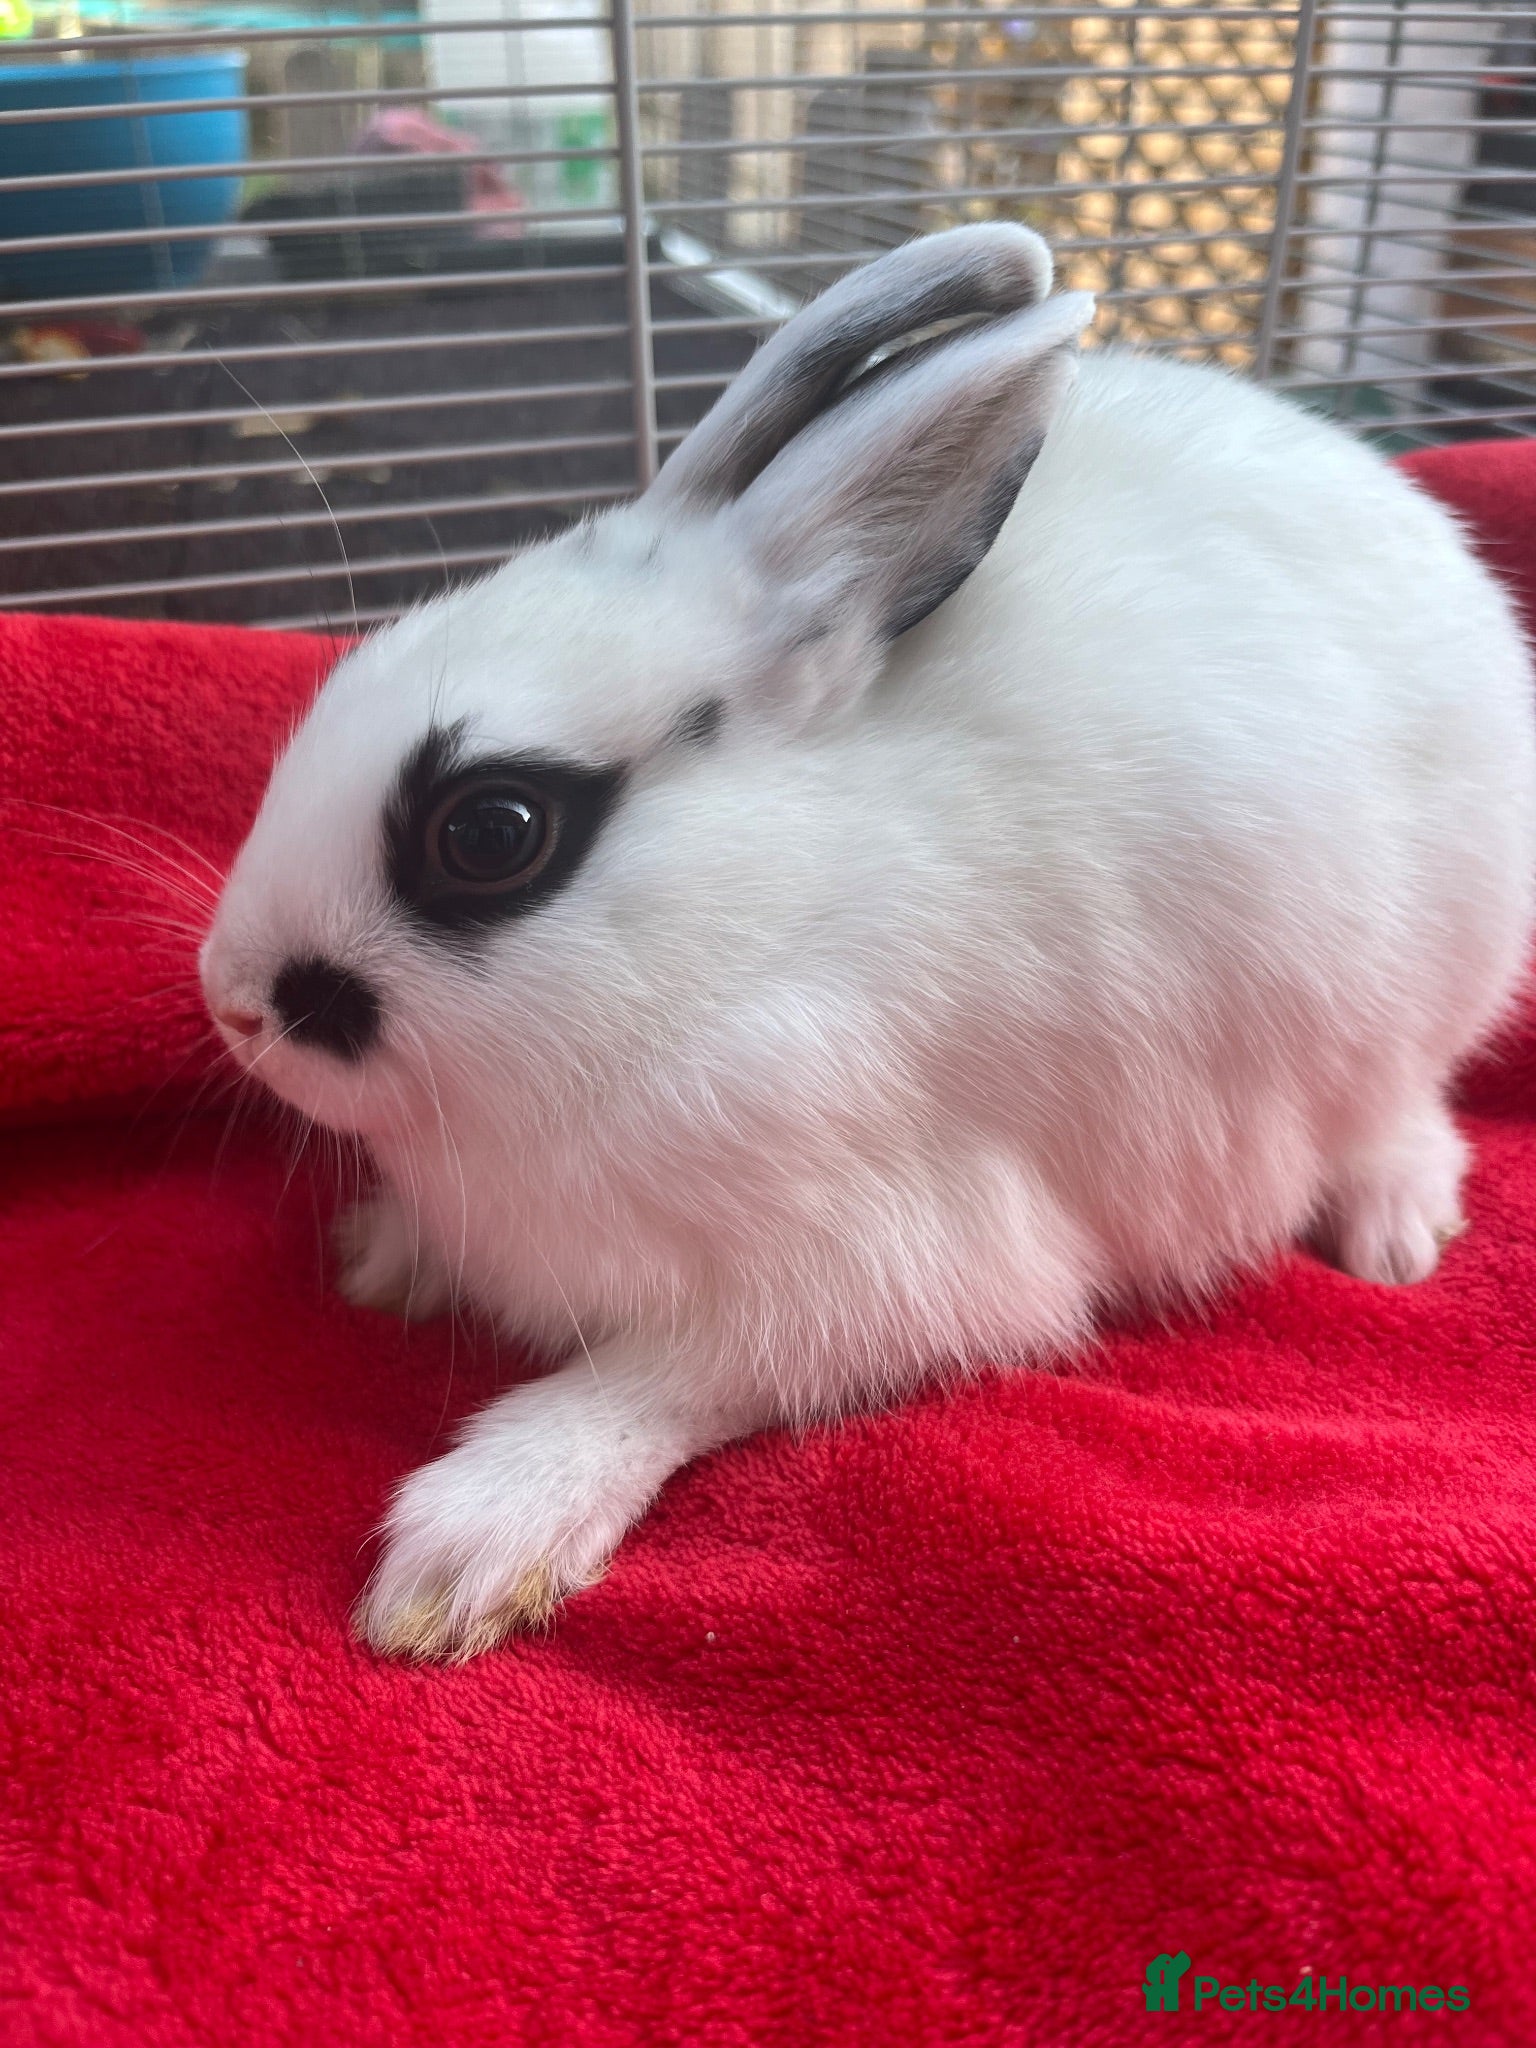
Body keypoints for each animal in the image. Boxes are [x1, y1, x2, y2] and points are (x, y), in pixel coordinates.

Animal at [200, 223, 1536, 1661]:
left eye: (491, 831)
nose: (233, 1005)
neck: (752, 931)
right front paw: (381, 1259)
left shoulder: (868, 1266)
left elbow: (650, 1384)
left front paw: (464, 1554)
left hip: (1405, 995)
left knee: (1406, 1107)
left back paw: (1395, 1238)